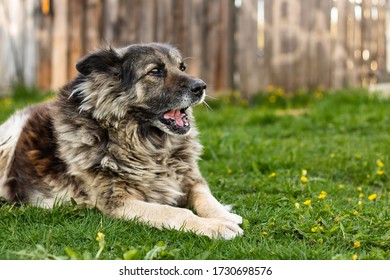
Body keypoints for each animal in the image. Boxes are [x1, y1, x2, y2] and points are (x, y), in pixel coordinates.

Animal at [0, 43, 242, 238]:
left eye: (182, 67)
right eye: (155, 71)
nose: (201, 86)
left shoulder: (191, 179)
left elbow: (205, 197)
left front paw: (224, 215)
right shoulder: (117, 201)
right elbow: (175, 211)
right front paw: (216, 227)